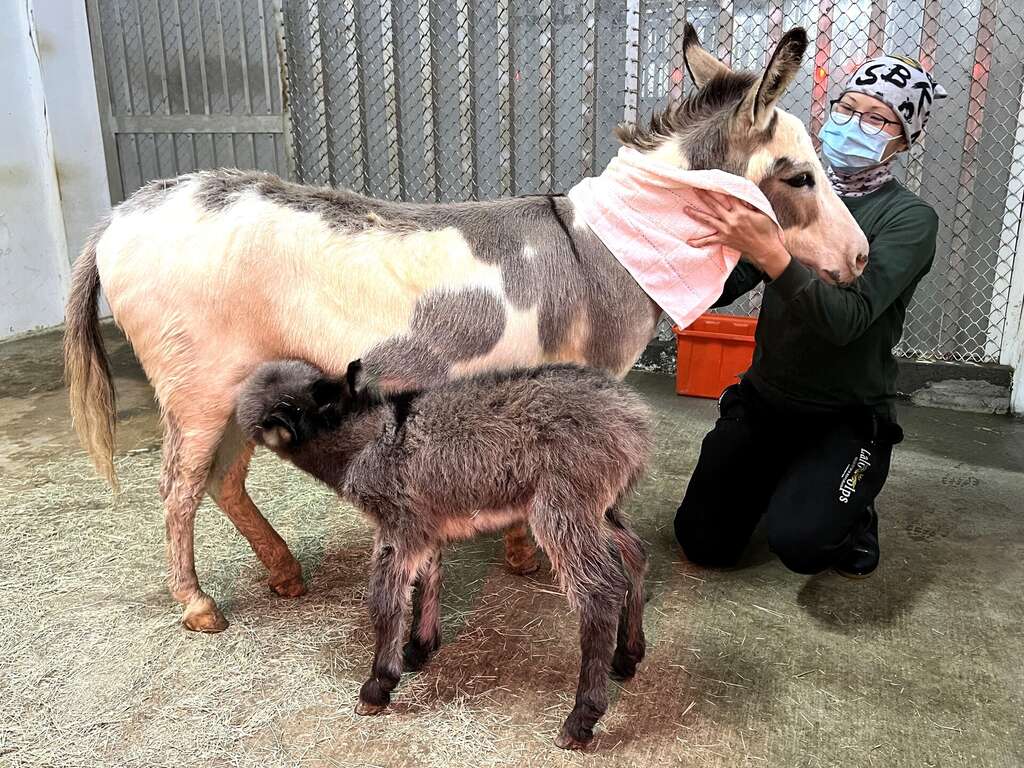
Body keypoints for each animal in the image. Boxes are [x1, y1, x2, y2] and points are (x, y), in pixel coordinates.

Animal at [236, 362, 651, 753]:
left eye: (292, 404)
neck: (369, 437)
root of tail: (631, 415)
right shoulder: (426, 526)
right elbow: (428, 578)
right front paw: (419, 647)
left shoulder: (400, 524)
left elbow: (385, 602)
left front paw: (379, 684)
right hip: (600, 507)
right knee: (634, 552)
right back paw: (627, 655)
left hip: (561, 506)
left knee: (600, 592)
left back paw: (581, 718)